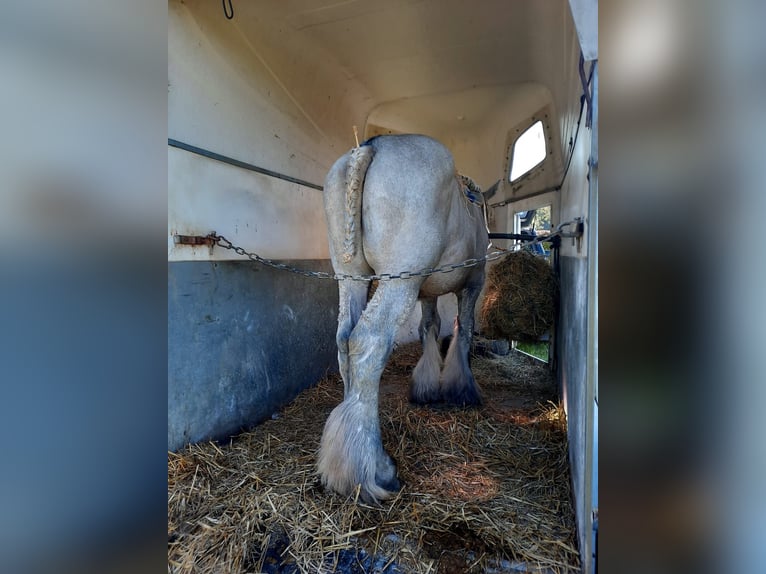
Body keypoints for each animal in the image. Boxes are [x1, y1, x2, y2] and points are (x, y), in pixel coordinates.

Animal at [320, 135, 496, 504]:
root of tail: (370, 147)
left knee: (344, 342)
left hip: (352, 278)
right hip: (399, 280)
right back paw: (371, 471)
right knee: (367, 342)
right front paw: (461, 387)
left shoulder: (427, 292)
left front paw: (427, 386)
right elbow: (464, 330)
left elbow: (429, 328)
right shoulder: (472, 285)